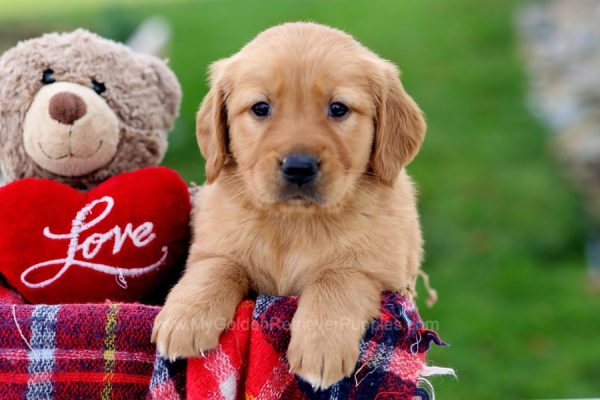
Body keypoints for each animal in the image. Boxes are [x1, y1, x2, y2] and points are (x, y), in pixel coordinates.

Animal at [155, 21, 426, 388]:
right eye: (261, 108)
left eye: (338, 108)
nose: (299, 167)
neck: (294, 222)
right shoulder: (213, 245)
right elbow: (218, 267)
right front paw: (185, 318)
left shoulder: (380, 271)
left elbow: (335, 277)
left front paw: (320, 349)